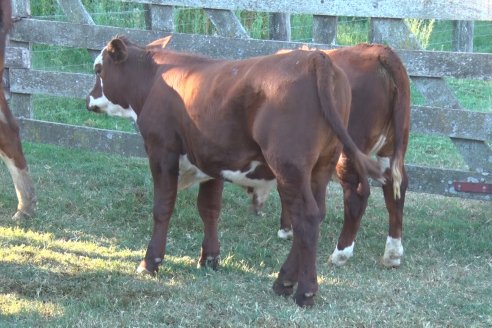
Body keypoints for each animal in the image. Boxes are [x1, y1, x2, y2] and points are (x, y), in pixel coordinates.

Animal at [86, 37, 382, 306]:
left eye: (98, 69)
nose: (88, 99)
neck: (156, 81)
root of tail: (314, 58)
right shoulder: (211, 160)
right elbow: (209, 209)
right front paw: (209, 258)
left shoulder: (162, 152)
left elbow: (162, 208)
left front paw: (150, 262)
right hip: (320, 167)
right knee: (316, 214)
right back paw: (284, 280)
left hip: (290, 167)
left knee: (306, 218)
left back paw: (304, 291)